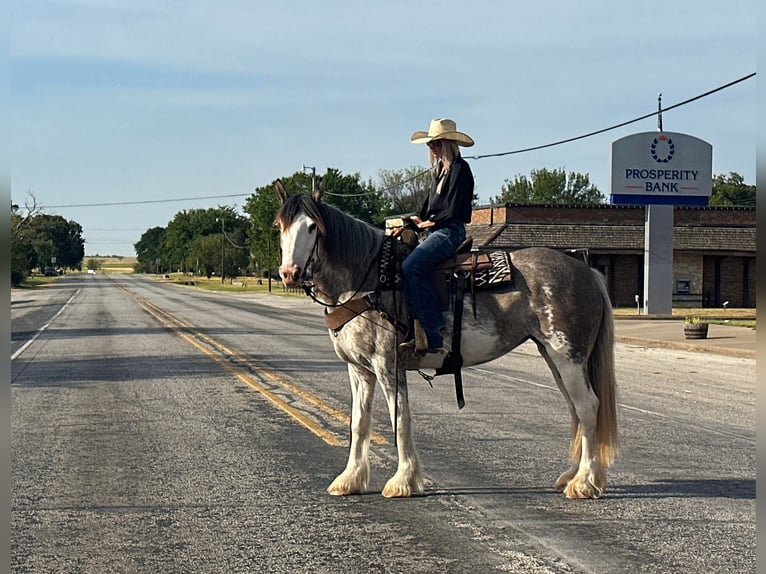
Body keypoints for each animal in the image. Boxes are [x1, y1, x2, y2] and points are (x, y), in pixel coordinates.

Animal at [276, 182, 616, 502]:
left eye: (313, 227)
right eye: (280, 226)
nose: (290, 273)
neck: (370, 281)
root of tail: (587, 271)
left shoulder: (388, 365)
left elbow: (400, 419)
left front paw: (403, 481)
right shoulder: (360, 370)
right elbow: (359, 423)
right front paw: (350, 480)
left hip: (568, 357)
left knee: (587, 407)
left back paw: (585, 483)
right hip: (554, 357)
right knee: (575, 410)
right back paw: (572, 476)